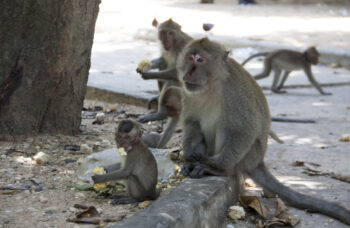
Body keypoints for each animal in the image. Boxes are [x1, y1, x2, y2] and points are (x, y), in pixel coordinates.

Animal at [178, 37, 350, 224]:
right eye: (190, 58)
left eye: (200, 60)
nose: (188, 73)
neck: (212, 84)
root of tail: (258, 161)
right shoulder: (188, 93)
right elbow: (192, 122)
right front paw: (189, 159)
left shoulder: (235, 93)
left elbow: (245, 130)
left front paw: (211, 164)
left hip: (248, 156)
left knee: (228, 128)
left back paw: (222, 170)